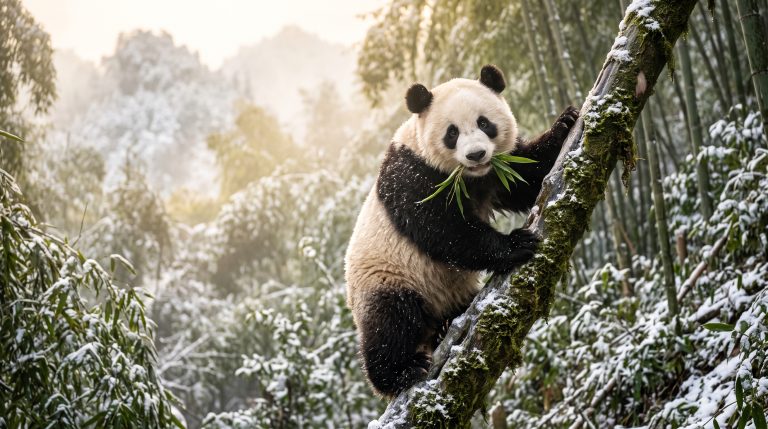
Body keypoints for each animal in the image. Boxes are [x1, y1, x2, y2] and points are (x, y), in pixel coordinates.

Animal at [344, 64, 578, 398]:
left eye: (484, 123)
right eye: (451, 133)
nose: (476, 154)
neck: (469, 177)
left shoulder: (497, 171)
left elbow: (525, 178)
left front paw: (564, 123)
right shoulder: (413, 176)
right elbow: (444, 230)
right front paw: (515, 244)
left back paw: (445, 326)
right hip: (386, 276)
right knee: (391, 322)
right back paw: (400, 373)